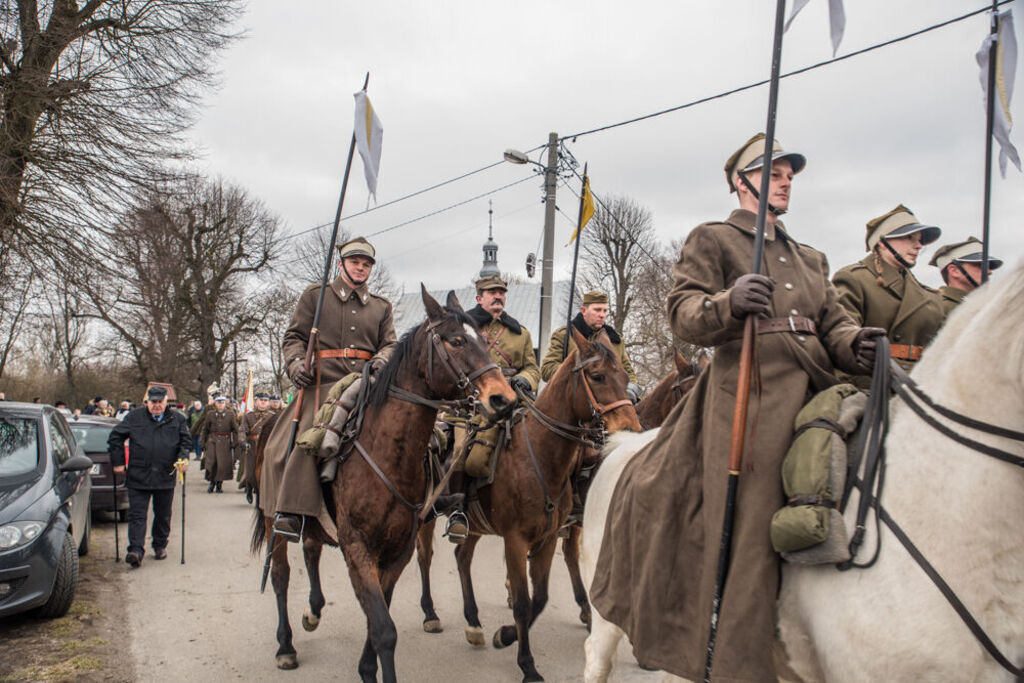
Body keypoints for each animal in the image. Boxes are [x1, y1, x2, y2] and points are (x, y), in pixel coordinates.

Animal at [250, 286, 516, 679]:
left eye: (484, 340)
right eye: (455, 341)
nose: (504, 399)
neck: (388, 453)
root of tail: (269, 423)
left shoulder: (396, 552)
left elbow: (378, 616)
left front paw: (366, 667)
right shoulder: (358, 548)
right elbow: (384, 629)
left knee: (311, 549)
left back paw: (313, 611)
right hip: (274, 519)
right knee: (281, 574)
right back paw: (286, 646)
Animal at [415, 327, 638, 679]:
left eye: (624, 375)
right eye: (598, 376)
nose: (632, 428)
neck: (539, 457)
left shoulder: (547, 540)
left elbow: (540, 599)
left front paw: (506, 635)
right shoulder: (516, 541)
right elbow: (522, 602)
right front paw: (526, 663)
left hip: (475, 525)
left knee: (462, 558)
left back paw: (473, 622)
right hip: (426, 514)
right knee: (425, 557)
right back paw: (430, 613)